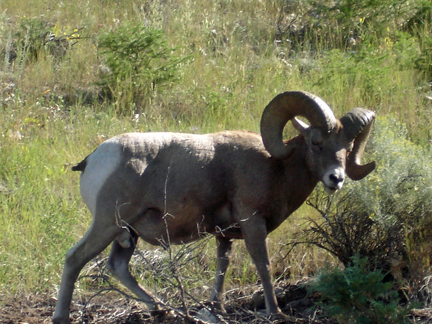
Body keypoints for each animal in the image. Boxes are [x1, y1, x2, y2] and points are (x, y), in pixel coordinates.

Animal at [51, 90, 374, 322]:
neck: (276, 167)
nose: (336, 178)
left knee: (118, 266)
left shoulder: (224, 234)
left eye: (346, 148)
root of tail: (93, 159)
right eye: (316, 142)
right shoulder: (253, 223)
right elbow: (264, 266)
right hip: (108, 224)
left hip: (128, 233)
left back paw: (160, 309)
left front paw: (215, 307)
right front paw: (275, 312)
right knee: (74, 259)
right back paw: (62, 317)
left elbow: (223, 265)